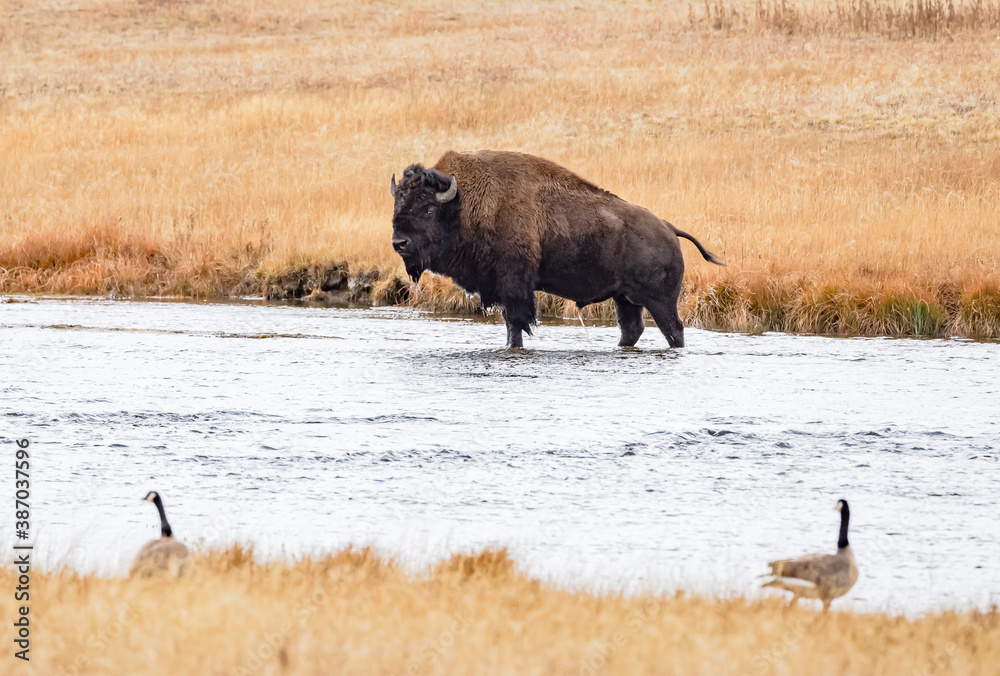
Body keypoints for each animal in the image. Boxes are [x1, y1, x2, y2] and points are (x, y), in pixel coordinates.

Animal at [389, 150, 722, 348]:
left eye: (428, 209)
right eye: (398, 204)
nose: (399, 243)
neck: (464, 203)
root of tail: (668, 228)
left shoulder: (514, 287)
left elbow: (516, 324)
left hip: (660, 301)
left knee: (673, 330)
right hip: (625, 299)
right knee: (632, 329)